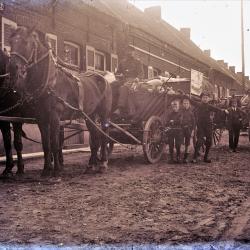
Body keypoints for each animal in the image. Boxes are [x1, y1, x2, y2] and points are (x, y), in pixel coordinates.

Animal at [9, 26, 112, 177]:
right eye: (11, 42)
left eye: (26, 42)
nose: (12, 68)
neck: (51, 81)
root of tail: (104, 78)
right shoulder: (41, 118)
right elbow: (46, 144)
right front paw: (46, 170)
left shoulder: (55, 116)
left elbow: (55, 143)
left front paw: (56, 170)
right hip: (90, 116)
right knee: (95, 138)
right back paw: (90, 165)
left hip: (104, 114)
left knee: (104, 136)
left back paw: (103, 164)